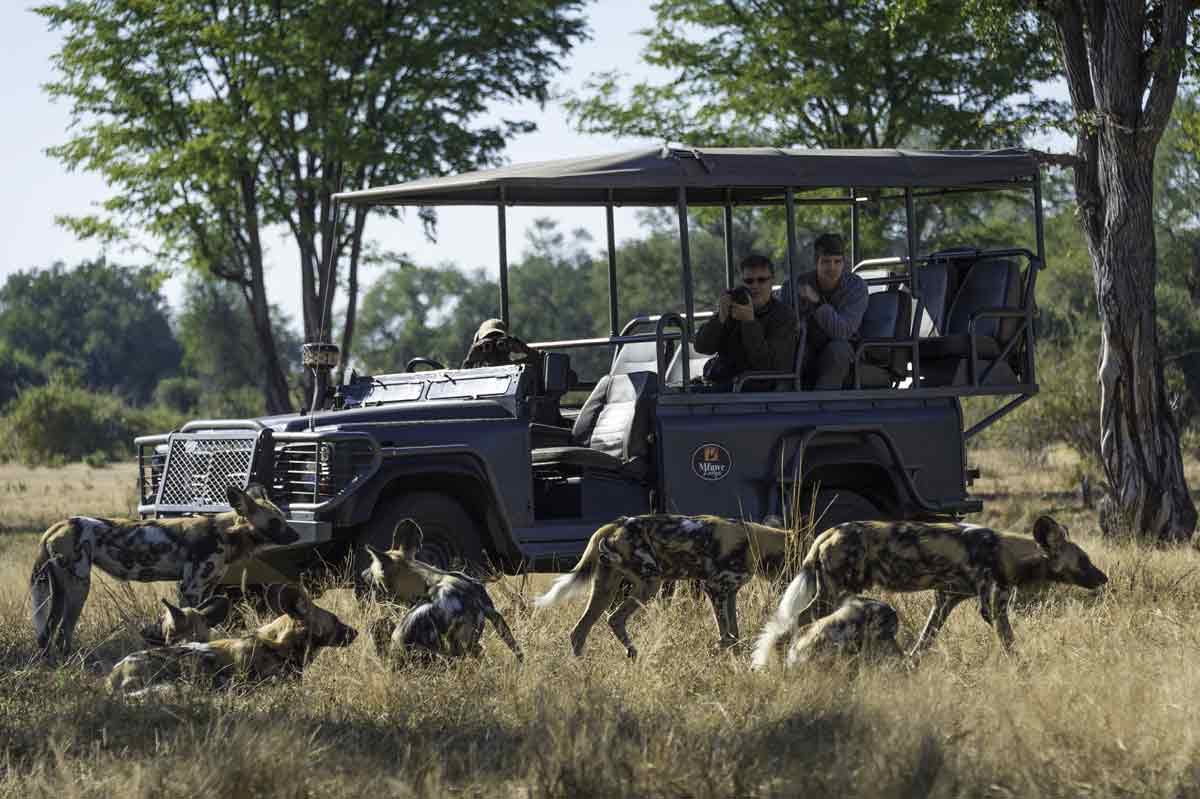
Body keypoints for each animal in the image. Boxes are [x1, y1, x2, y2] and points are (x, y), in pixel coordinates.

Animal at [31, 482, 297, 657]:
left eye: (284, 519)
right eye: (275, 522)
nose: (296, 536)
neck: (227, 533)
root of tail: (58, 525)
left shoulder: (207, 589)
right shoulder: (190, 588)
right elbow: (187, 621)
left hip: (60, 591)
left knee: (49, 629)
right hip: (79, 587)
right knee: (64, 630)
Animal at [535, 513, 796, 657]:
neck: (753, 542)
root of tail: (616, 524)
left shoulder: (729, 594)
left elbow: (735, 635)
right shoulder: (714, 589)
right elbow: (727, 636)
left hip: (605, 589)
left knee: (579, 631)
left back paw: (583, 670)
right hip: (650, 584)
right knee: (614, 618)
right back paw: (632, 653)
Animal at [753, 513, 1108, 662]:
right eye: (1084, 561)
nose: (1103, 578)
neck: (1004, 551)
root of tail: (826, 534)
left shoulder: (945, 600)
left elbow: (924, 641)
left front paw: (911, 665)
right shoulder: (993, 607)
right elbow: (1010, 643)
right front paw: (1023, 669)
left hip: (832, 594)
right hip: (829, 595)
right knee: (792, 626)